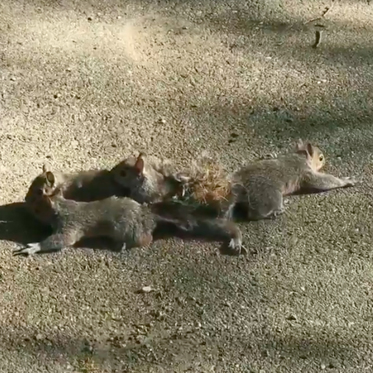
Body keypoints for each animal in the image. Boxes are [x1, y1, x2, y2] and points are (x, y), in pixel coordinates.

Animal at [16, 171, 244, 256]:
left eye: (37, 198)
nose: (25, 203)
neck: (60, 206)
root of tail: (149, 216)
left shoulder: (70, 223)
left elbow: (62, 240)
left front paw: (34, 246)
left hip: (130, 229)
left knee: (146, 239)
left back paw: (124, 244)